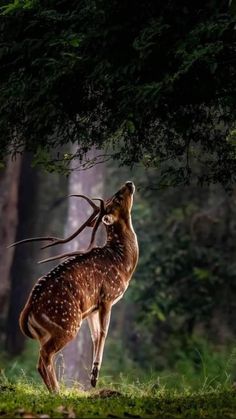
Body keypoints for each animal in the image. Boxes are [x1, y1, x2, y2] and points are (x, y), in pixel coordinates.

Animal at [9, 181, 138, 394]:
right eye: (117, 198)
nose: (129, 183)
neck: (122, 262)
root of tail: (28, 310)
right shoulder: (107, 296)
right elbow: (104, 333)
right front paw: (94, 377)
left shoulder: (92, 308)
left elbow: (95, 336)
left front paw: (93, 376)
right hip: (68, 323)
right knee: (45, 356)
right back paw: (57, 392)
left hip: (48, 332)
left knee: (42, 359)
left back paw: (54, 390)